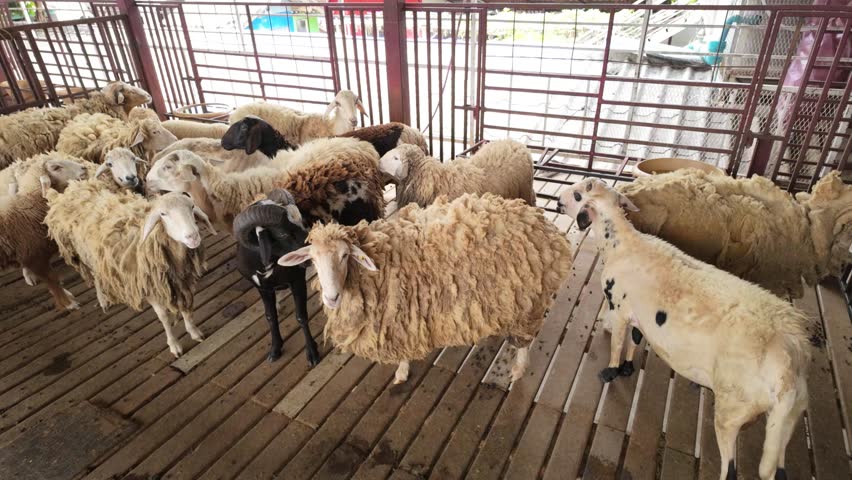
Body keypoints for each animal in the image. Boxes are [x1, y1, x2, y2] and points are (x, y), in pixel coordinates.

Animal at [42, 178, 216, 357]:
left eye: (192, 207)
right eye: (163, 214)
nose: (193, 236)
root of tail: (72, 189)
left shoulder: (181, 281)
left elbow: (185, 307)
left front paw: (194, 332)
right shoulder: (148, 287)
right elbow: (164, 317)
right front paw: (174, 345)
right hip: (83, 253)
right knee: (95, 275)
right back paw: (102, 300)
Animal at [278, 193, 574, 384]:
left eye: (344, 256)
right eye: (312, 260)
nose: (331, 297)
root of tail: (544, 225)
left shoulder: (400, 320)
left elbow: (403, 355)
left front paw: (401, 372)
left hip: (531, 302)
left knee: (525, 340)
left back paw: (518, 369)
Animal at [556, 178, 811, 480]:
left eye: (578, 195)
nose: (558, 202)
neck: (622, 245)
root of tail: (791, 362)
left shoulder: (618, 307)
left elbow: (618, 343)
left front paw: (610, 372)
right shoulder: (639, 317)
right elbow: (635, 340)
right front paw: (628, 367)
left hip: (733, 409)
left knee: (731, 468)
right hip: (785, 422)